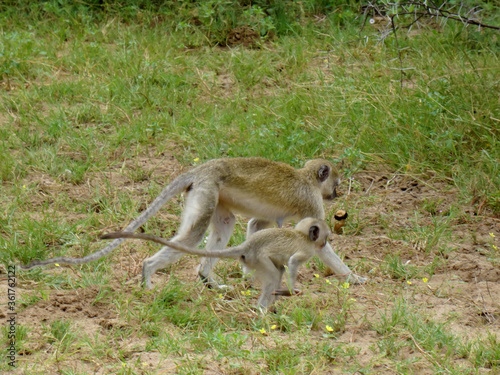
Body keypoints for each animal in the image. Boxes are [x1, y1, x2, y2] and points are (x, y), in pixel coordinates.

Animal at [21, 156, 366, 288]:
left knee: (223, 225)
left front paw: (250, 269)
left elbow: (256, 227)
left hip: (209, 194)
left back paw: (207, 278)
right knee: (192, 236)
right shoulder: (311, 201)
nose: (336, 193)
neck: (305, 177)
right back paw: (148, 273)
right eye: (335, 183)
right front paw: (353, 277)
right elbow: (319, 241)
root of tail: (203, 168)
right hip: (205, 190)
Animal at [100, 217, 332, 312]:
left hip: (253, 260)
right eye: (325, 236)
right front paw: (292, 291)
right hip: (258, 259)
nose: (325, 242)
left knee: (278, 271)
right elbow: (292, 262)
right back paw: (261, 311)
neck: (303, 235)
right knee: (275, 274)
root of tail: (247, 246)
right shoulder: (306, 251)